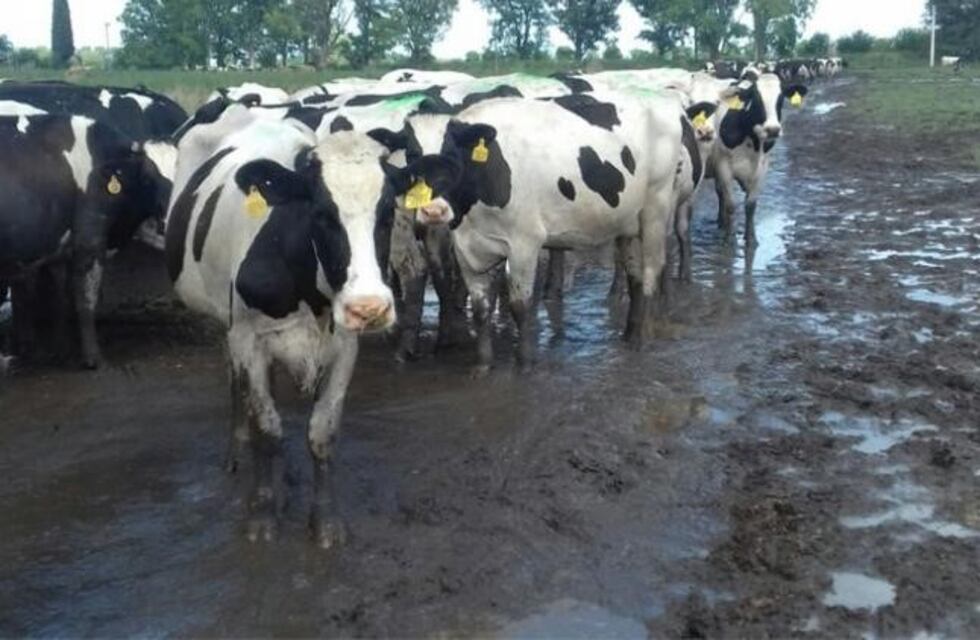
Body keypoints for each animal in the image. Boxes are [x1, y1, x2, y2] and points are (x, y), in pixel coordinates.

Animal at [0, 115, 172, 368]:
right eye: (148, 178)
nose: (168, 217)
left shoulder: (60, 250)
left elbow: (60, 299)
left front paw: (60, 349)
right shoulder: (90, 241)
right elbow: (86, 299)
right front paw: (93, 358)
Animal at [165, 113, 458, 546]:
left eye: (388, 213)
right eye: (321, 214)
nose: (368, 306)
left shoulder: (344, 345)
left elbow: (322, 433)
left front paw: (325, 521)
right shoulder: (249, 339)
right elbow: (266, 428)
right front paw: (263, 514)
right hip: (224, 324)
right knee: (237, 386)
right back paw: (238, 453)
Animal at [393, 94, 684, 373]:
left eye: (453, 156)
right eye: (412, 154)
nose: (433, 211)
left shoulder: (525, 242)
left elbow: (520, 306)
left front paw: (524, 363)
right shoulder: (467, 248)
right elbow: (480, 309)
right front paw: (484, 364)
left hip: (656, 209)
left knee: (651, 271)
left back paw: (641, 337)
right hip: (627, 224)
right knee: (635, 276)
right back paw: (629, 334)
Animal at [706, 73, 808, 244]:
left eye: (780, 99)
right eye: (756, 99)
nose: (773, 129)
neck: (751, 142)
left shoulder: (762, 167)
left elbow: (750, 205)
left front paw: (751, 239)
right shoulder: (723, 166)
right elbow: (731, 205)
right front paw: (729, 238)